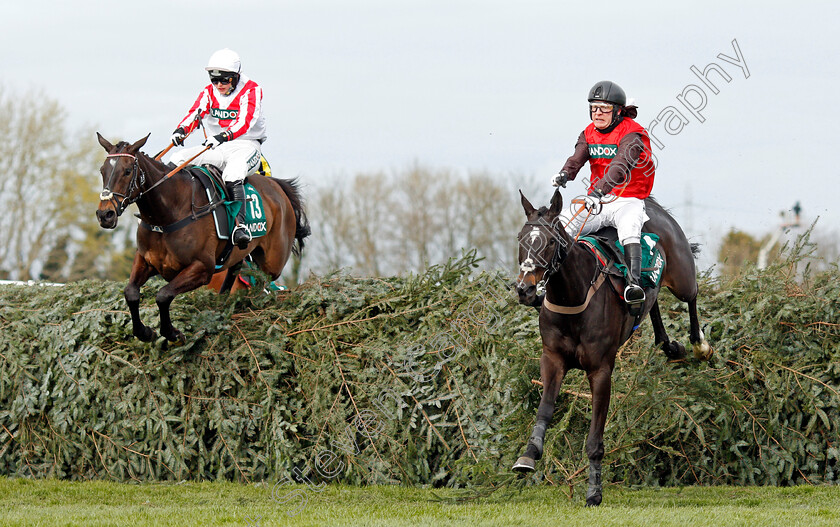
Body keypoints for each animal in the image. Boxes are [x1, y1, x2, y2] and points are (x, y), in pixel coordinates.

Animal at [95, 134, 310, 344]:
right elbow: (131, 293)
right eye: (102, 170)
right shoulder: (146, 261)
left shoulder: (202, 268)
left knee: (262, 283)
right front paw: (145, 332)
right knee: (236, 271)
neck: (168, 213)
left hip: (273, 262)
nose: (105, 214)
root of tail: (278, 186)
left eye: (127, 171)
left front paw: (173, 333)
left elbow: (163, 295)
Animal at [512, 190, 708, 508]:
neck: (574, 296)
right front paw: (529, 455)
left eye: (551, 241)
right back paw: (668, 345)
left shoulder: (600, 370)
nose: (525, 289)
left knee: (692, 295)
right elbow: (545, 409)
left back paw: (700, 345)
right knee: (651, 303)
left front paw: (594, 492)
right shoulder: (552, 359)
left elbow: (595, 439)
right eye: (521, 238)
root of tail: (653, 205)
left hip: (681, 275)